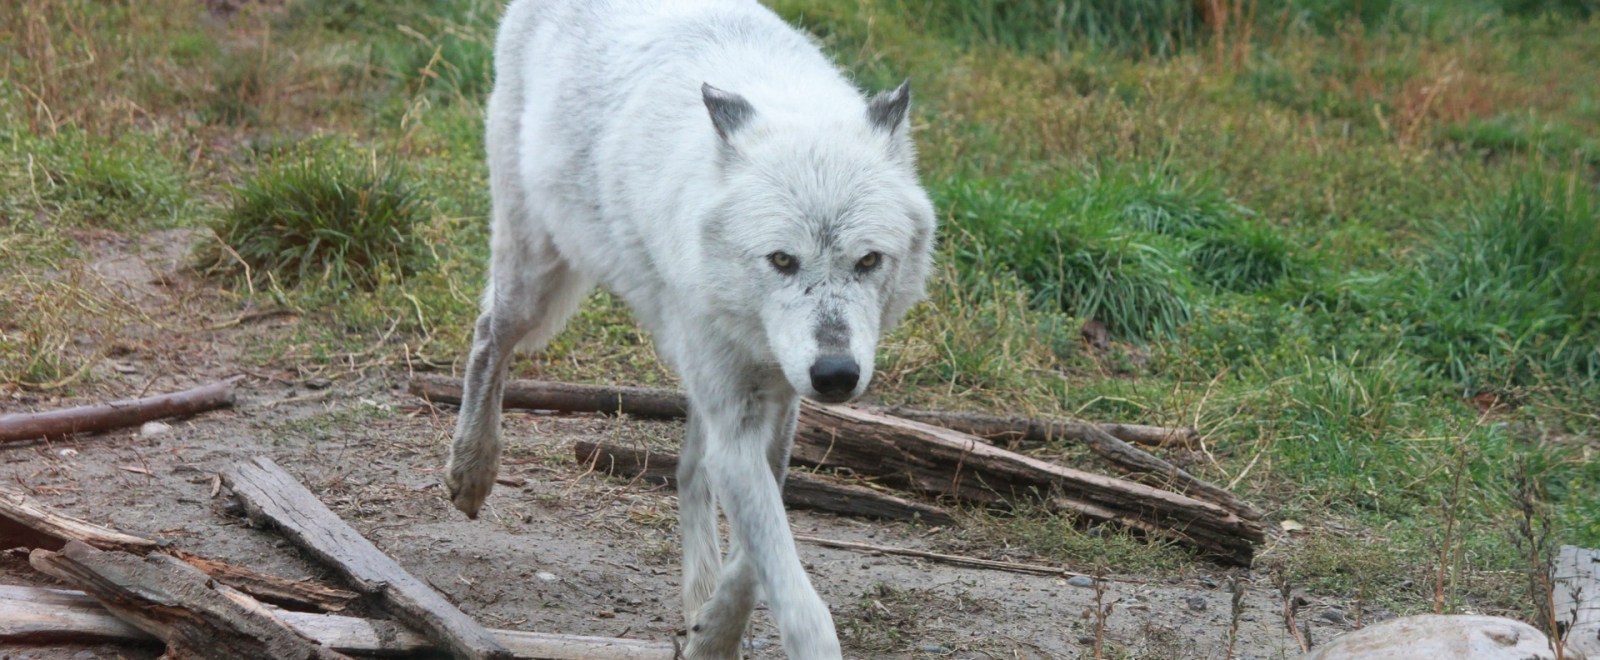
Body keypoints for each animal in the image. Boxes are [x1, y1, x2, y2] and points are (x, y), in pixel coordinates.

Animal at [443, 0, 937, 657]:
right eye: (782, 260)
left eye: (869, 261)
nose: (835, 376)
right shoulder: (739, 415)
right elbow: (793, 592)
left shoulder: (775, 404)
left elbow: (754, 555)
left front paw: (713, 632)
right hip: (535, 284)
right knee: (486, 340)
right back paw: (472, 469)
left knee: (686, 469)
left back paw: (695, 592)